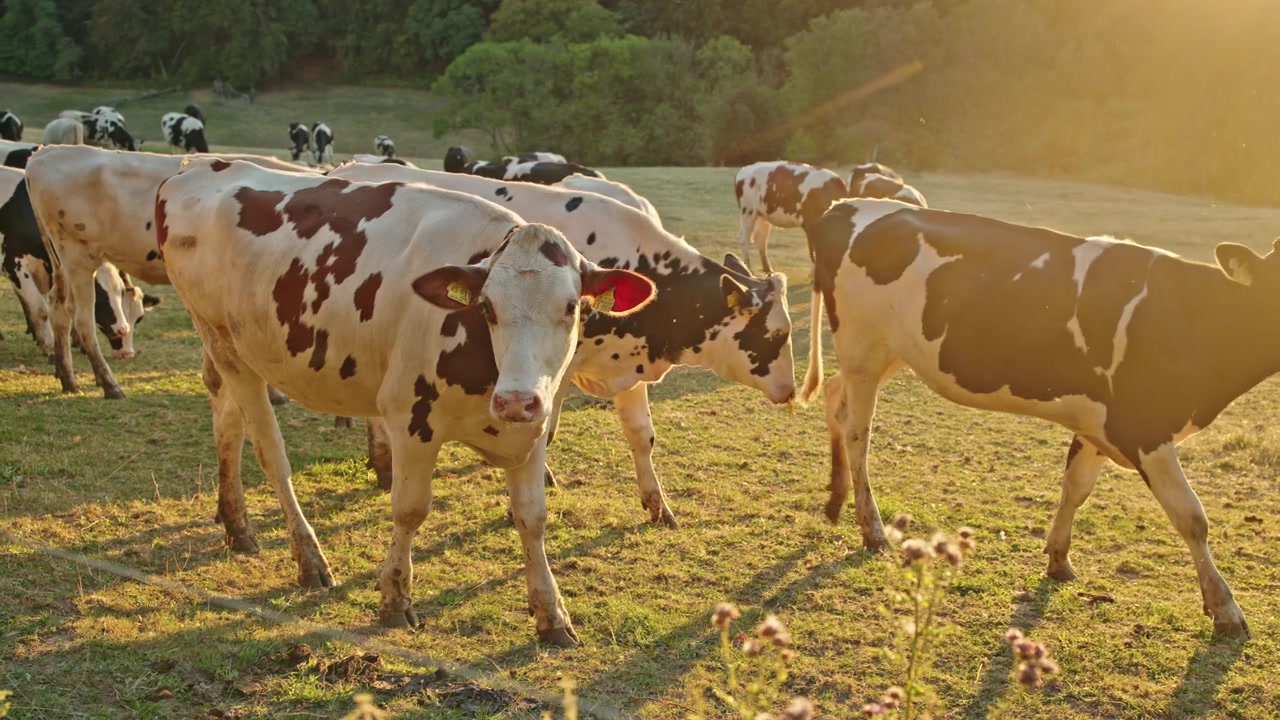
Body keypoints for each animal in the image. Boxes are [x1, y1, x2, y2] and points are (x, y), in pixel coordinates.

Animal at [2, 166, 160, 357]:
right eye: (100, 296)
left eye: (138, 318)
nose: (126, 353)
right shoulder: (13, 266)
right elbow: (40, 309)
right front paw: (49, 346)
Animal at [23, 145, 306, 398]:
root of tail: (46, 152)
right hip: (78, 258)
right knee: (83, 320)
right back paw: (109, 384)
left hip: (61, 262)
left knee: (59, 310)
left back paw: (67, 377)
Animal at [158, 157, 656, 645]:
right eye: (487, 307)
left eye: (573, 307)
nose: (516, 399)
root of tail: (196, 165)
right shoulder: (412, 421)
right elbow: (410, 508)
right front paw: (395, 599)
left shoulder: (531, 430)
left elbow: (532, 517)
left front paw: (551, 615)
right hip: (227, 345)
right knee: (270, 453)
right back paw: (309, 557)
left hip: (225, 351)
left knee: (227, 422)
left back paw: (236, 524)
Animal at [329, 163, 797, 528]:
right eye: (778, 334)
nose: (792, 391)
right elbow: (544, 432)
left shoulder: (628, 365)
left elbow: (642, 435)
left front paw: (657, 505)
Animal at [803, 197, 1276, 638]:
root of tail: (847, 205)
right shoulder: (1144, 429)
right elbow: (1192, 517)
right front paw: (1225, 608)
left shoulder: (1097, 424)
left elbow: (1076, 488)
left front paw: (1059, 559)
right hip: (863, 347)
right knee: (858, 433)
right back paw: (873, 530)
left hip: (891, 353)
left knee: (834, 398)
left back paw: (835, 499)